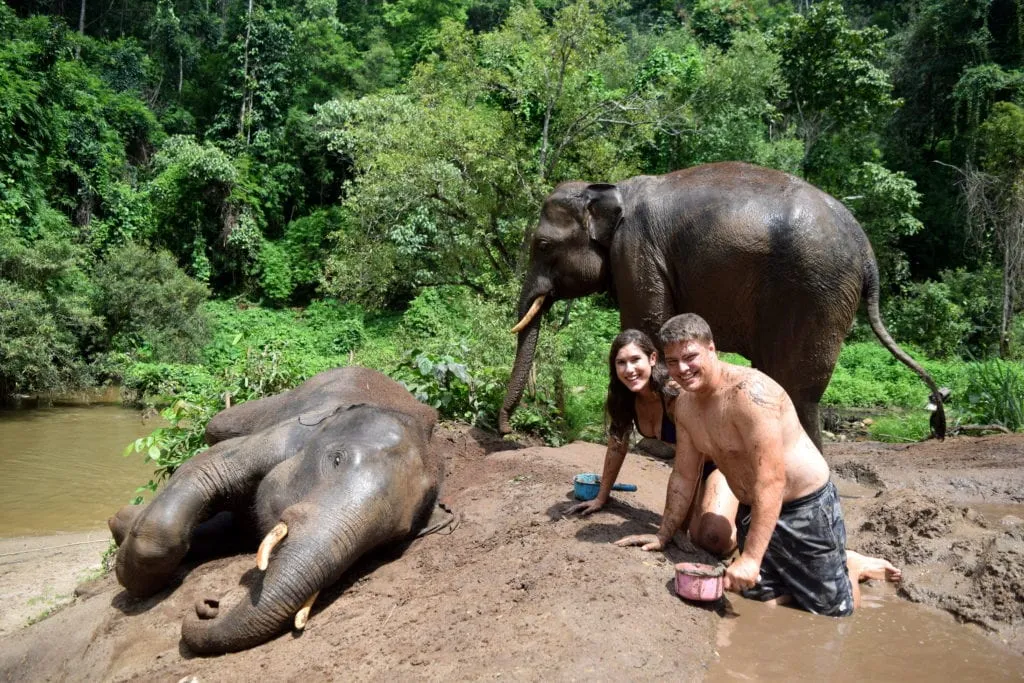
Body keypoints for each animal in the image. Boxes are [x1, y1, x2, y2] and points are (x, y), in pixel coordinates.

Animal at [110, 366, 450, 655]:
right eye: (336, 459)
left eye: (393, 536)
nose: (210, 605)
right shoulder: (288, 435)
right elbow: (209, 467)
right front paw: (133, 582)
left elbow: (231, 527)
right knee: (215, 426)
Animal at [499, 162, 946, 446]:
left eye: (542, 245)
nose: (505, 430)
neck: (608, 188)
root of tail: (868, 253)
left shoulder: (636, 252)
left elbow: (646, 324)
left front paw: (649, 445)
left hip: (817, 291)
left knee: (797, 386)